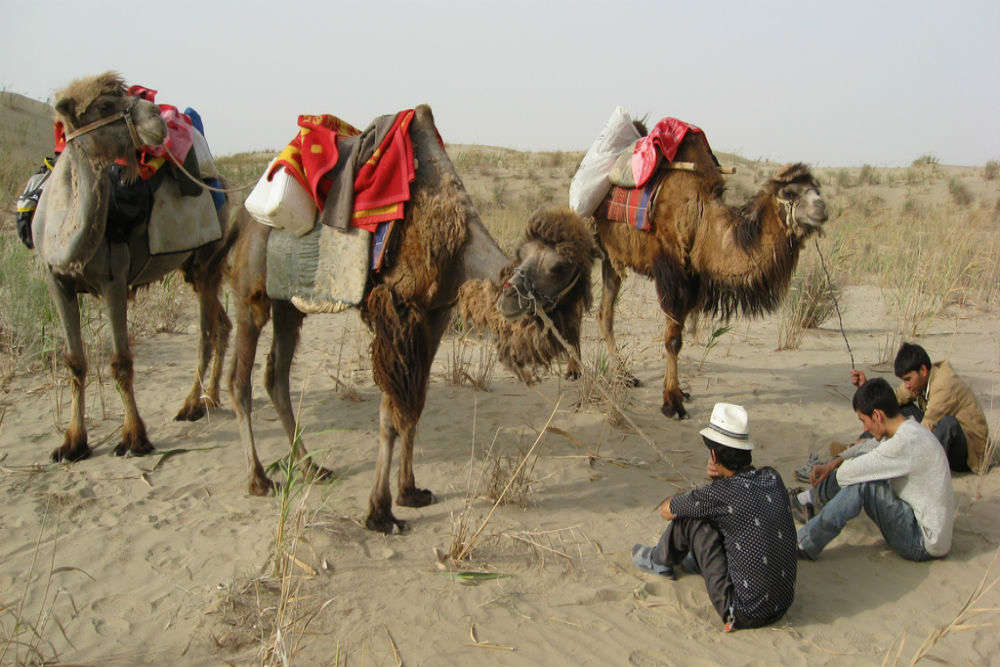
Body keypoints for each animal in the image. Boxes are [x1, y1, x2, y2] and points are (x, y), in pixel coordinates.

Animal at [31, 70, 232, 462]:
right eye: (104, 106)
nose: (157, 118)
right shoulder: (56, 282)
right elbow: (74, 361)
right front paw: (72, 443)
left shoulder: (113, 281)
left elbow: (121, 361)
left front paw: (134, 439)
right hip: (192, 269)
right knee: (223, 323)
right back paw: (211, 398)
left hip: (207, 259)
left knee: (207, 331)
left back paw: (192, 404)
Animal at [226, 105, 592, 532]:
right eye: (525, 256)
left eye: (561, 267)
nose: (511, 297)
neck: (457, 247)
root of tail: (241, 216)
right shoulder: (397, 312)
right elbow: (390, 412)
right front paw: (380, 512)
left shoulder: (435, 315)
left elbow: (415, 405)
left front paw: (410, 491)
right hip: (250, 295)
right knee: (241, 381)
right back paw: (258, 478)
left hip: (287, 304)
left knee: (277, 377)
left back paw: (312, 468)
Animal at [592, 133, 828, 420]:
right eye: (790, 192)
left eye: (818, 189)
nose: (822, 208)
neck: (702, 222)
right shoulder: (672, 272)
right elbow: (673, 339)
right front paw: (672, 402)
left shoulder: (694, 278)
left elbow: (678, 337)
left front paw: (679, 392)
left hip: (611, 257)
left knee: (605, 314)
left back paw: (624, 375)